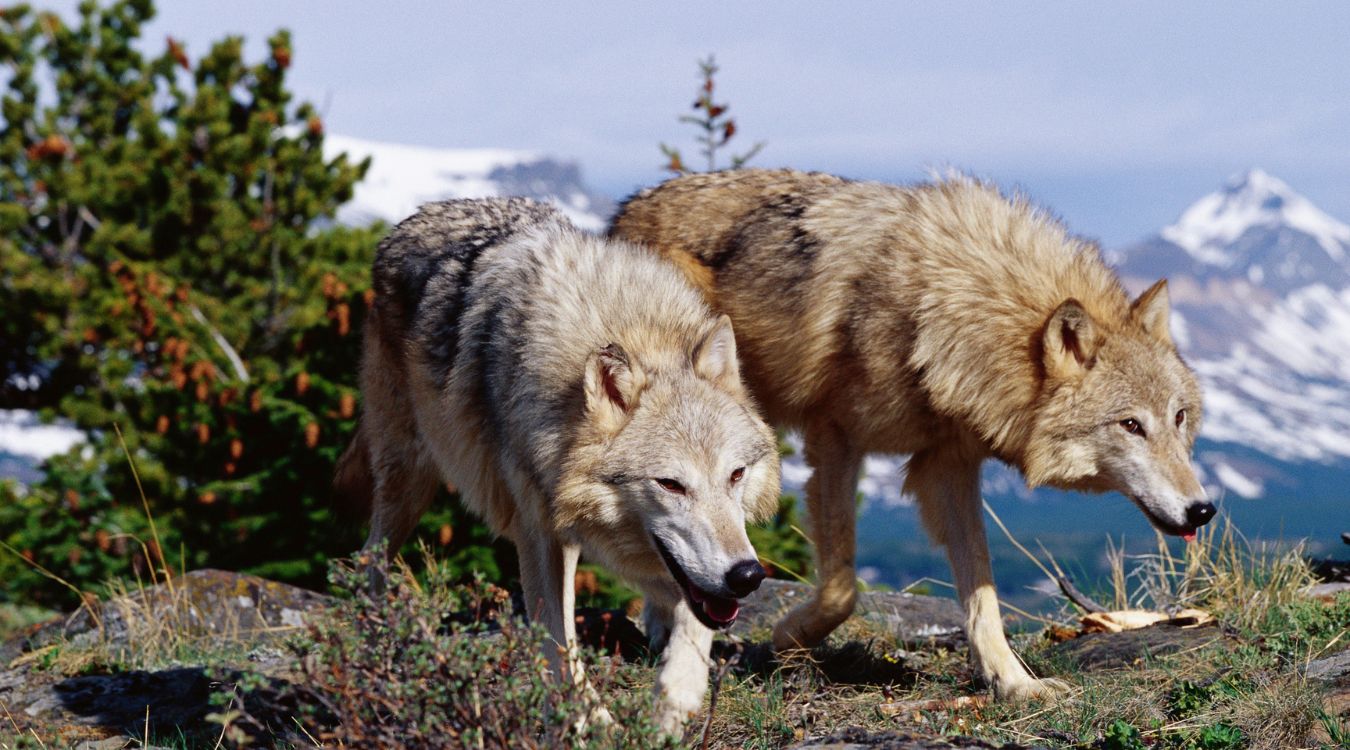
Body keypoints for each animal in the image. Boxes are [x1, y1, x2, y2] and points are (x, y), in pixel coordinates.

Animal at [333, 197, 781, 731]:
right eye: (671, 484)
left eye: (736, 475)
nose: (748, 576)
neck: (634, 329)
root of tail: (417, 217)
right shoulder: (540, 532)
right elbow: (558, 639)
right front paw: (589, 720)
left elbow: (697, 617)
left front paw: (677, 694)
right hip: (409, 479)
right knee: (369, 560)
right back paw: (380, 645)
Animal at [610, 169, 1213, 701]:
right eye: (1131, 425)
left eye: (1179, 417)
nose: (1203, 509)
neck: (950, 304)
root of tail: (627, 207)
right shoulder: (836, 439)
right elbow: (843, 588)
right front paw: (785, 640)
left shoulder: (948, 465)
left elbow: (982, 592)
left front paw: (1014, 684)